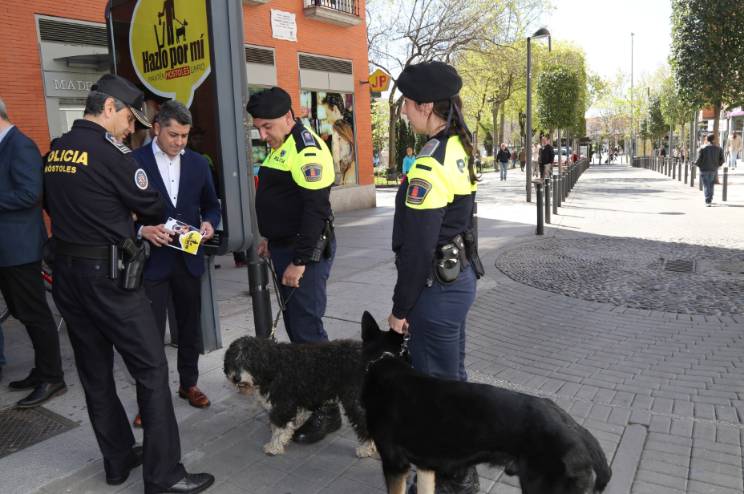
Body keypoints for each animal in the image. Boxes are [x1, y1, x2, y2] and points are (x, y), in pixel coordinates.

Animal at [224, 336, 375, 457]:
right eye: (233, 361)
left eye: (249, 361)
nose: (236, 378)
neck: (273, 366)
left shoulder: (283, 403)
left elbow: (279, 427)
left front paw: (274, 446)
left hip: (355, 400)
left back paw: (366, 448)